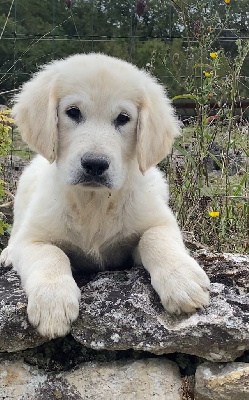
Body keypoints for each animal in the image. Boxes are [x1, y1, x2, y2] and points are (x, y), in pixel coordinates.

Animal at [0, 54, 210, 338]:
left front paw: (183, 281)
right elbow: (50, 255)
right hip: (25, 187)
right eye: (73, 112)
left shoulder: (157, 222)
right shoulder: (33, 238)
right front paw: (52, 303)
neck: (94, 202)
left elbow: (156, 239)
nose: (95, 164)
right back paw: (8, 253)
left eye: (123, 118)